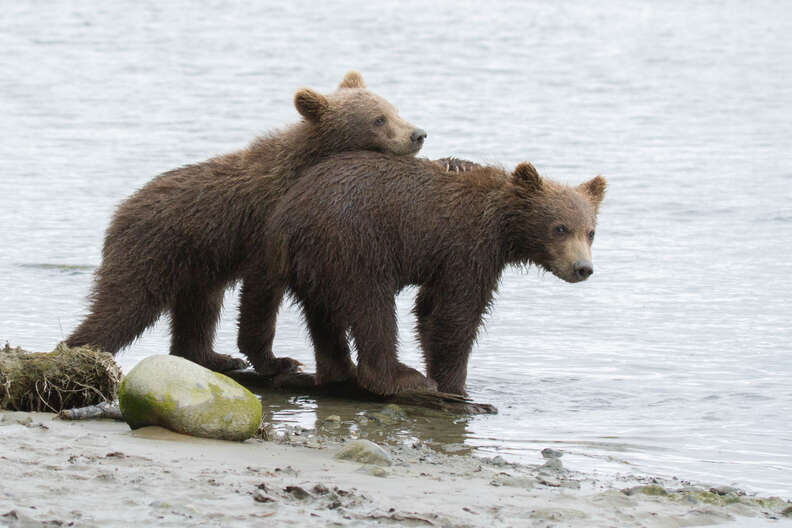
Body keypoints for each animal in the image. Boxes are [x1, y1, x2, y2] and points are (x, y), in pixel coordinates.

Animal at [66, 72, 428, 375]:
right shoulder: (266, 230)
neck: (305, 166)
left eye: (394, 108)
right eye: (378, 119)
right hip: (152, 253)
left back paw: (214, 357)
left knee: (199, 311)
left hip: (197, 266)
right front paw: (278, 360)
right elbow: (260, 299)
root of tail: (119, 212)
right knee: (124, 305)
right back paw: (79, 351)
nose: (418, 134)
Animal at [250, 151, 606, 396]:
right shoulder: (467, 248)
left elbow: (429, 309)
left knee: (323, 316)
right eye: (560, 227)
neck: (503, 229)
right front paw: (453, 384)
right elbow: (457, 314)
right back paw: (399, 377)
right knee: (372, 308)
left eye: (590, 231)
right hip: (355, 244)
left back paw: (339, 372)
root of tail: (287, 216)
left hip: (312, 264)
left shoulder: (444, 259)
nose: (583, 268)